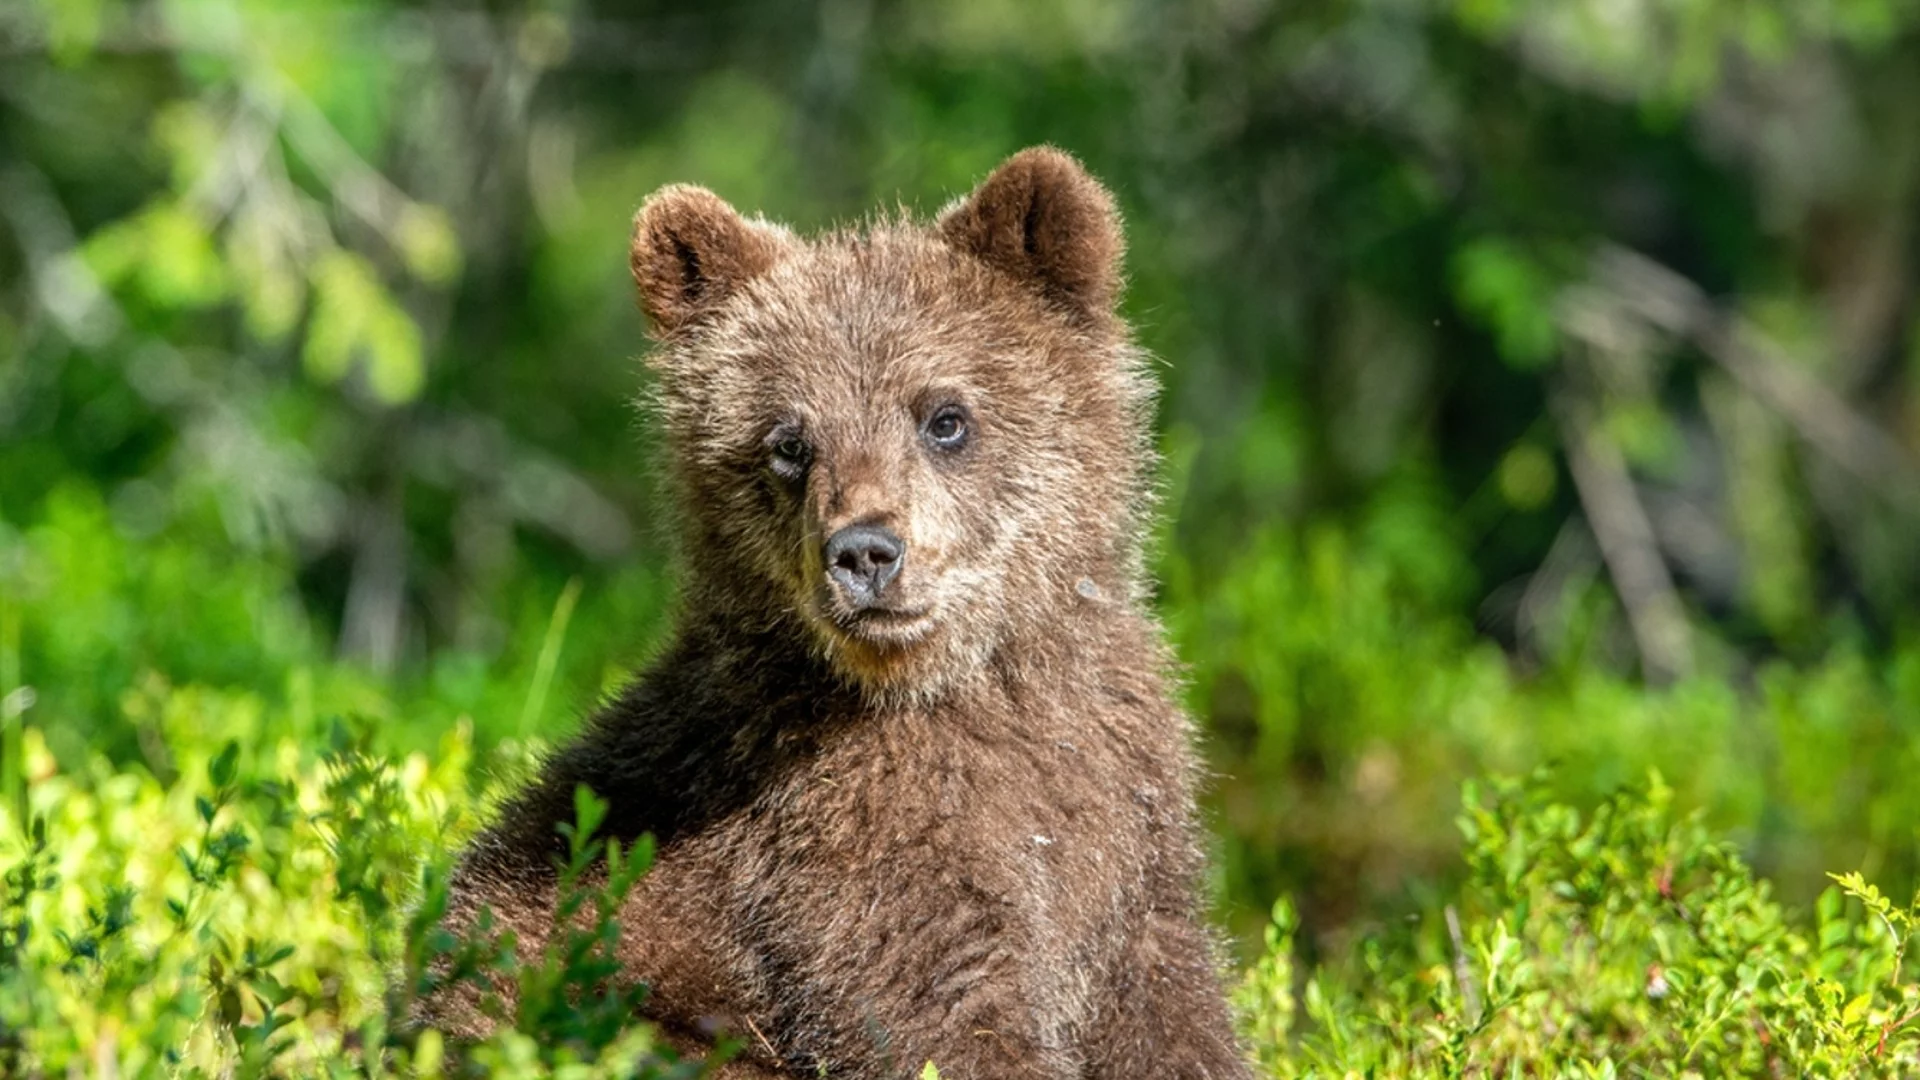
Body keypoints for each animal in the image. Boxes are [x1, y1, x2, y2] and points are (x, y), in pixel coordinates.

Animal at [424, 145, 1244, 1076]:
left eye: (945, 416)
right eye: (789, 442)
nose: (863, 553)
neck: (946, 684)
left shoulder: (1125, 817)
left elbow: (1169, 1006)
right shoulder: (837, 851)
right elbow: (936, 1014)